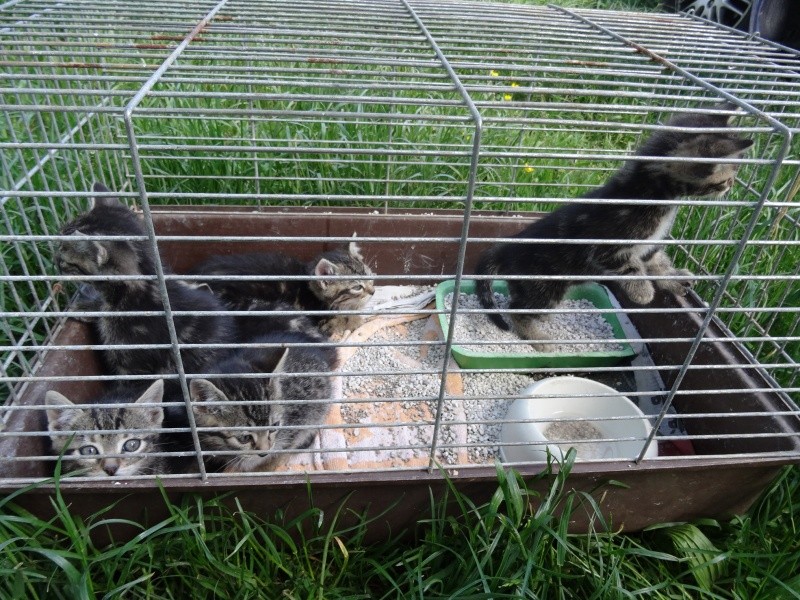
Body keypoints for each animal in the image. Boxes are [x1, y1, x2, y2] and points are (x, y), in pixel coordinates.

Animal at [472, 103, 752, 350]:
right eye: (727, 177)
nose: (731, 186)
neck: (647, 191)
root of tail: (507, 247)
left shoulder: (650, 244)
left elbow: (657, 261)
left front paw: (671, 279)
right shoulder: (608, 246)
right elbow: (630, 267)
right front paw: (642, 293)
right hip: (544, 288)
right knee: (516, 311)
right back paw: (539, 339)